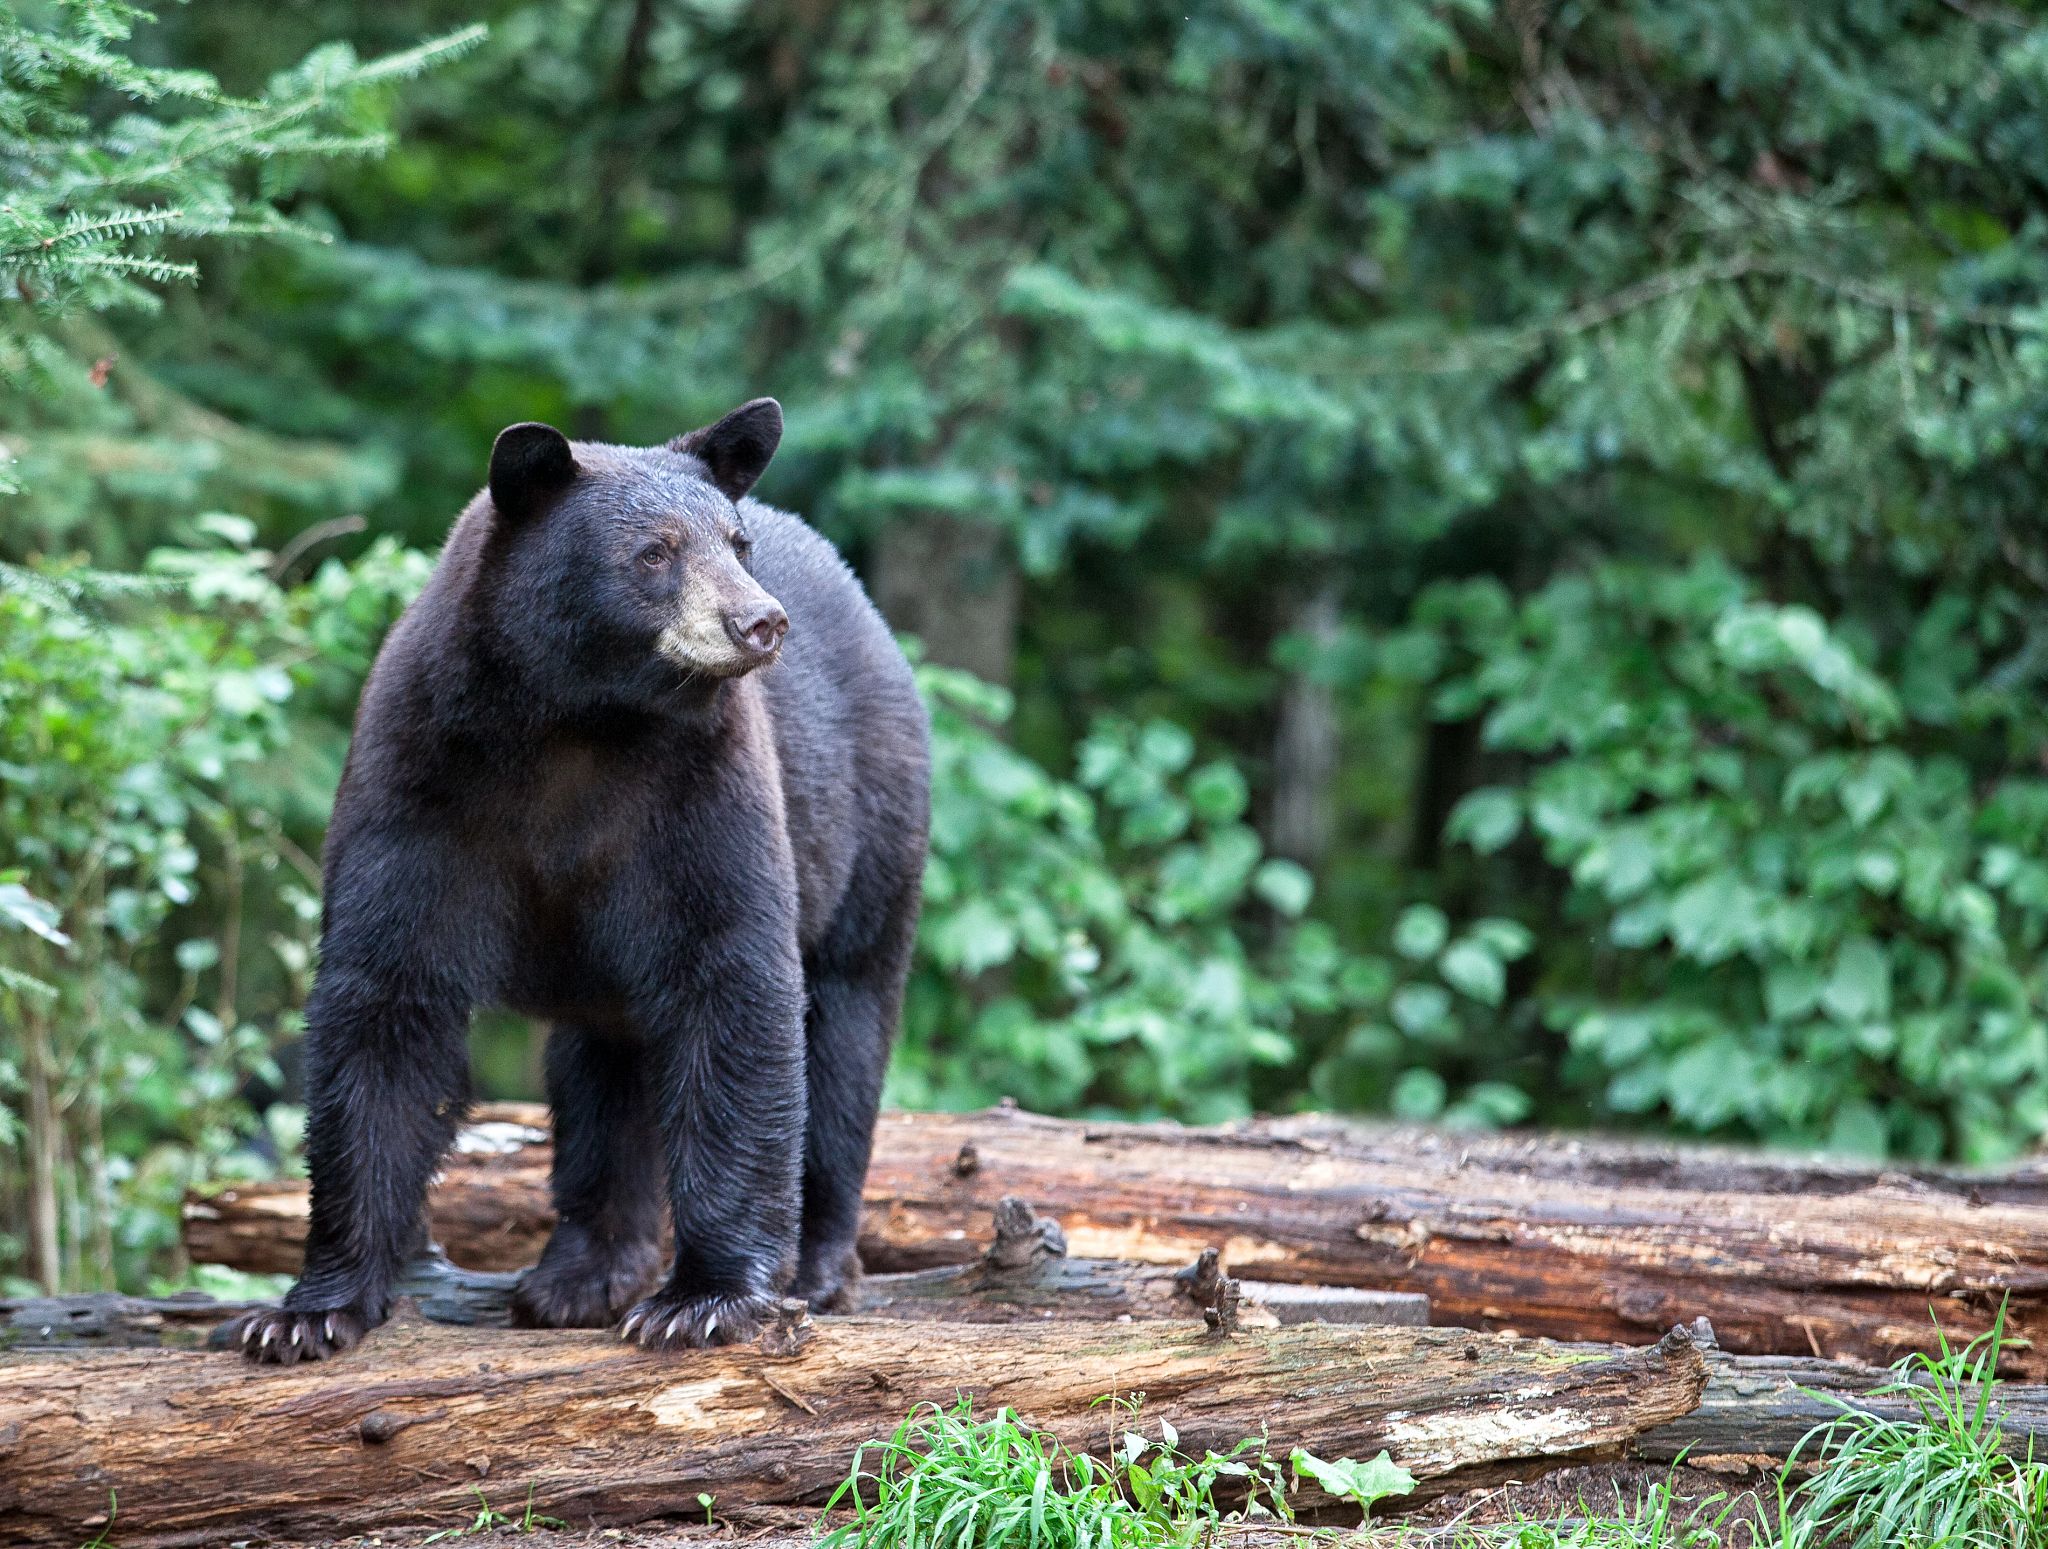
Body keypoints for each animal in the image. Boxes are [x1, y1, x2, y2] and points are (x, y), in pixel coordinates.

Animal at [232, 401, 929, 1368]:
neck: (577, 722)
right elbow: (386, 1000)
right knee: (605, 1070)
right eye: (655, 551)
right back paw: (582, 1272)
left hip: (871, 825)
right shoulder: (419, 783)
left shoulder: (701, 793)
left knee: (846, 1028)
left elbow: (733, 983)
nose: (760, 621)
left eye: (736, 542)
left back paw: (819, 1264)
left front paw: (704, 1299)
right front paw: (307, 1309)